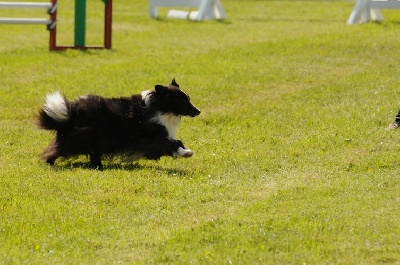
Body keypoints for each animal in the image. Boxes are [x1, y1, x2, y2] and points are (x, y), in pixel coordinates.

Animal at [37, 78, 200, 169]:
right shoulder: (151, 138)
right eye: (182, 100)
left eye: (188, 98)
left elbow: (177, 141)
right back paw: (50, 163)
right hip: (85, 136)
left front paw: (186, 150)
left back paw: (97, 166)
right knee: (57, 149)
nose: (198, 111)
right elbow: (169, 144)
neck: (161, 107)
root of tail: (71, 112)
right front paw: (186, 153)